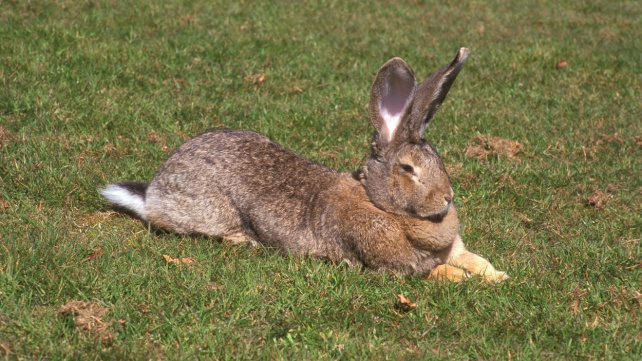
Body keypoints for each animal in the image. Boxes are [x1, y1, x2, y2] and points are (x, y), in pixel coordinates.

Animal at [100, 47, 508, 282]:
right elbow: (440, 272)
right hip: (205, 211)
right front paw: (469, 281)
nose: (447, 198)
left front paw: (499, 276)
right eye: (408, 170)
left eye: (437, 158)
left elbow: (473, 260)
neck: (378, 203)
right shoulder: (393, 265)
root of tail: (155, 190)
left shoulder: (455, 249)